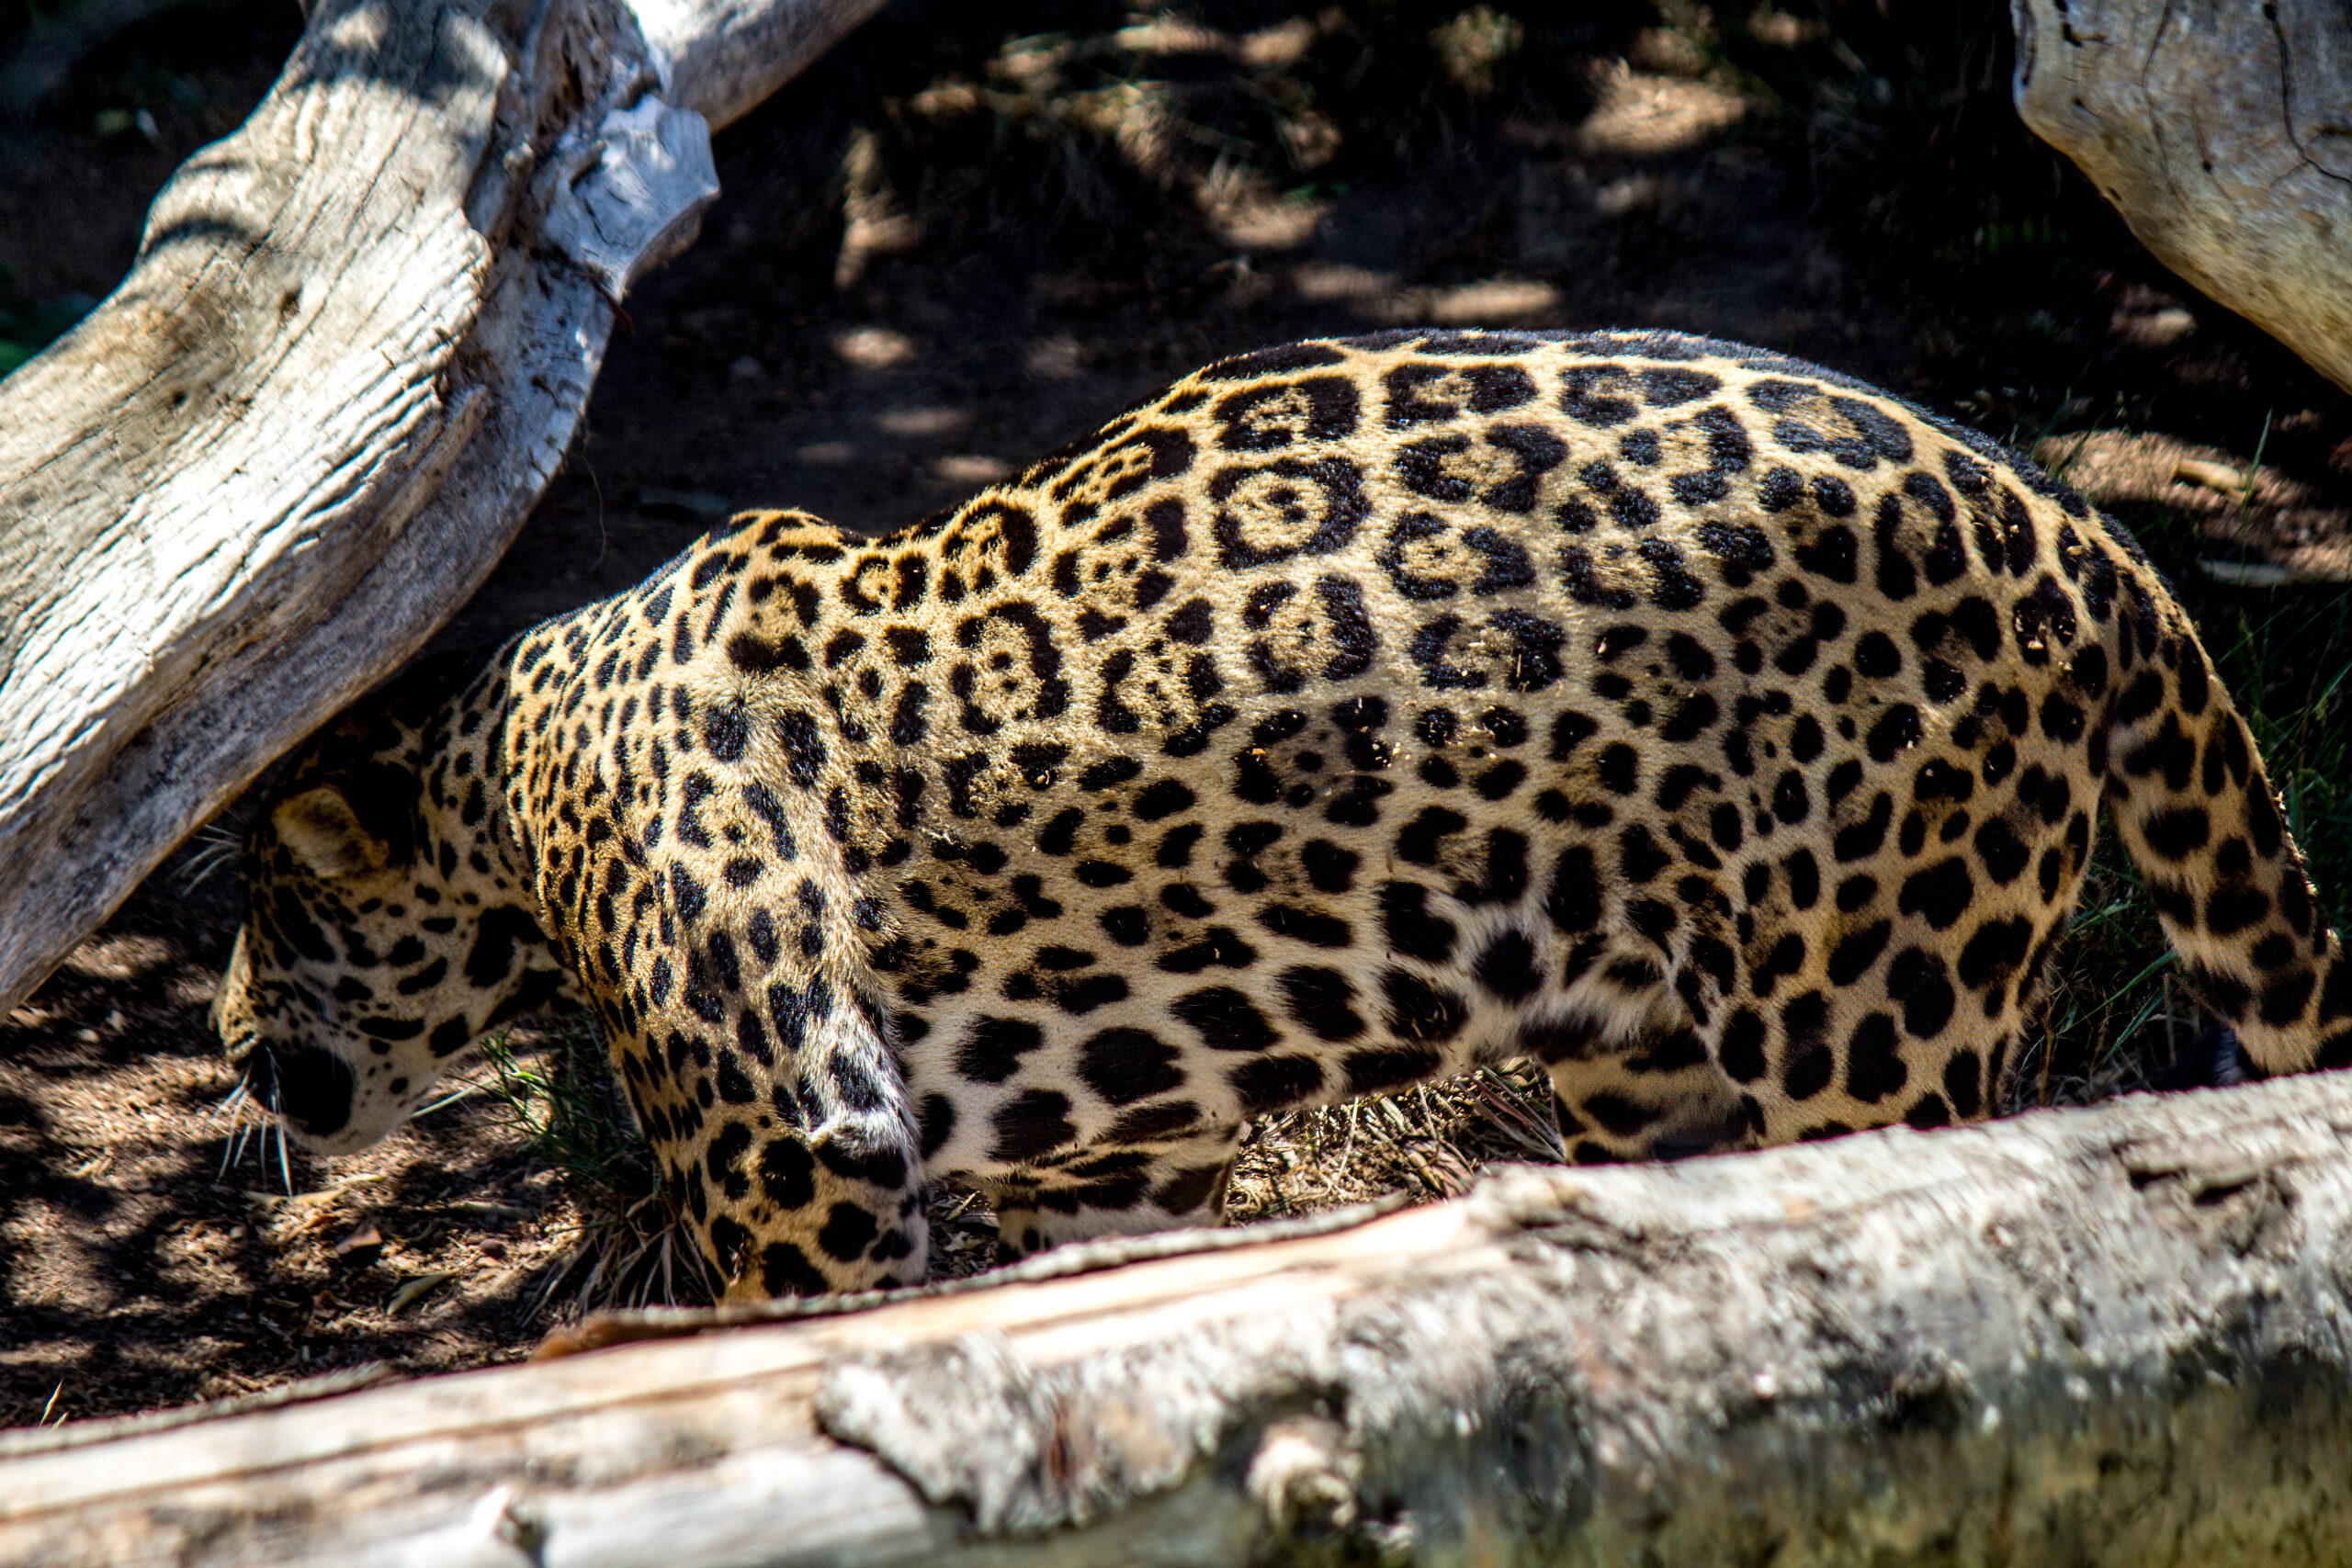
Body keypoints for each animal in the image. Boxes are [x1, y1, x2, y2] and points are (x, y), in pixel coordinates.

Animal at [212, 328, 2351, 1300]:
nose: (224, 1032)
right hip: (1651, 1056)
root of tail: (2077, 529)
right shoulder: (1116, 1158)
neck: (512, 781)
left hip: (1869, 1021)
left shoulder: (796, 1148)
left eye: (262, 908)